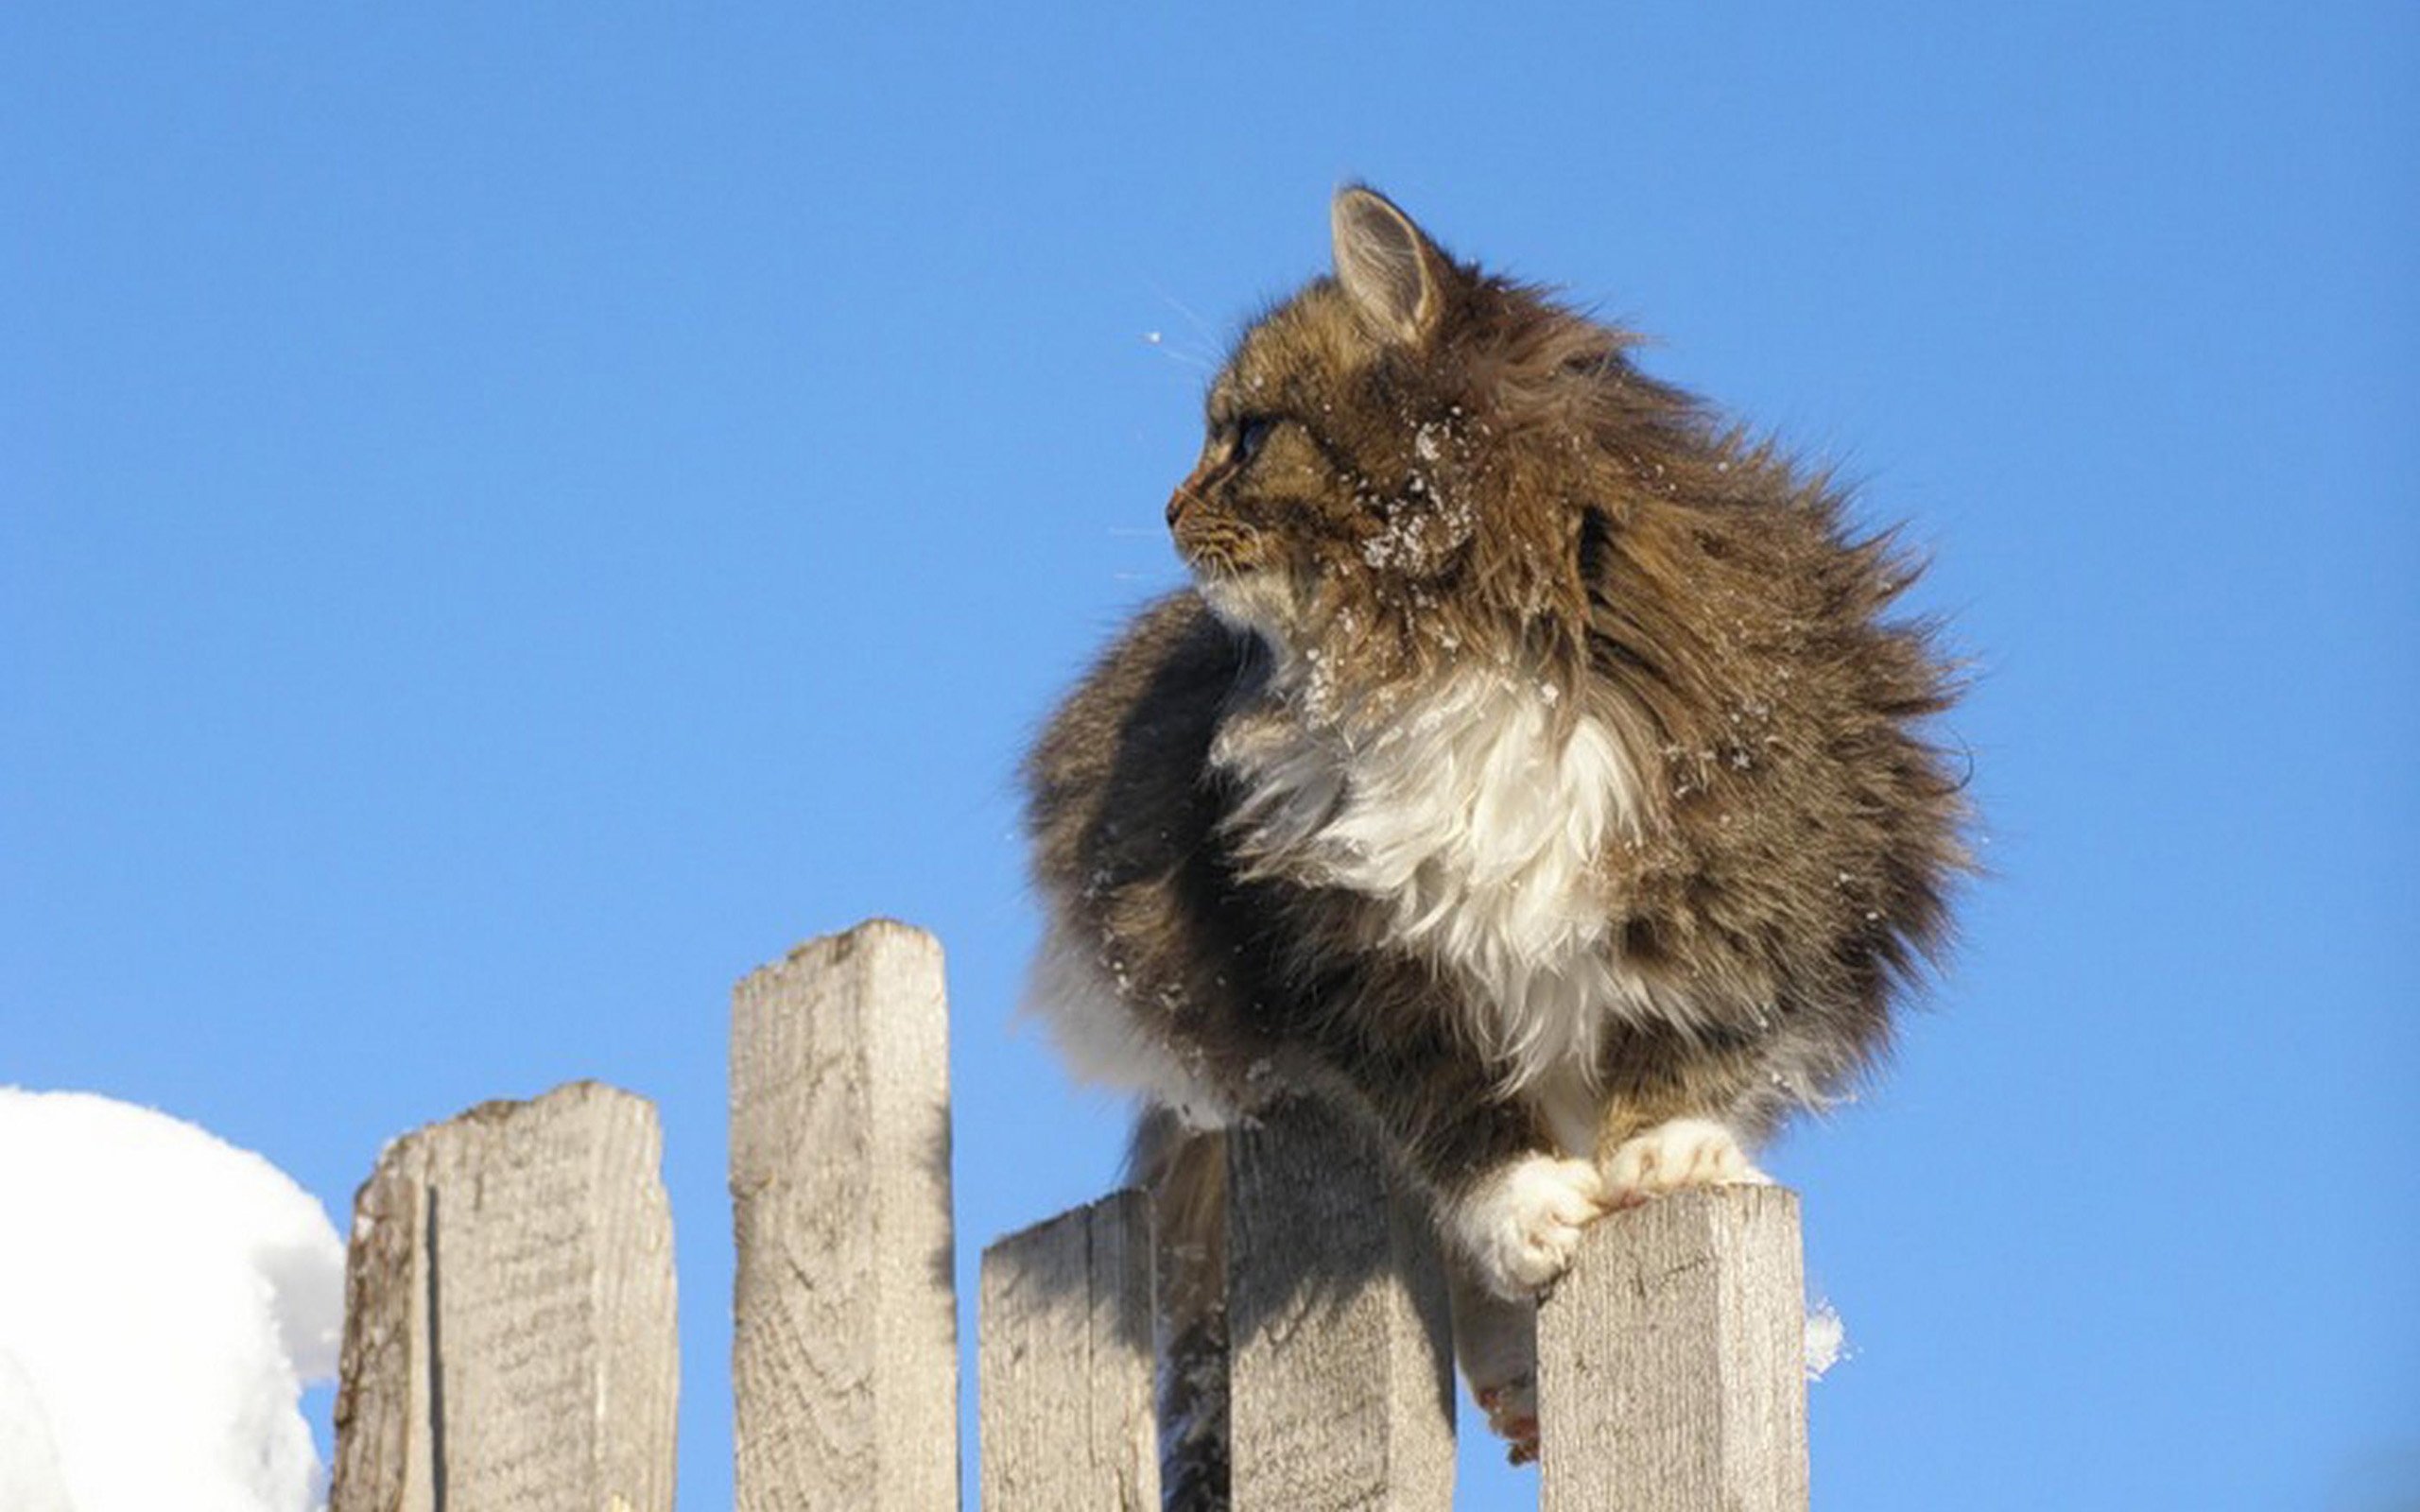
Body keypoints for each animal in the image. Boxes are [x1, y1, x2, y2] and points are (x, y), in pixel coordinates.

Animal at [1021, 186, 1964, 1470]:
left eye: (1246, 438)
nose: (1168, 506)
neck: (1459, 645)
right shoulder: (1345, 952)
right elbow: (1454, 1115)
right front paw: (1530, 1209)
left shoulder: (1777, 865)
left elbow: (1695, 1041)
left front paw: (1667, 1151)